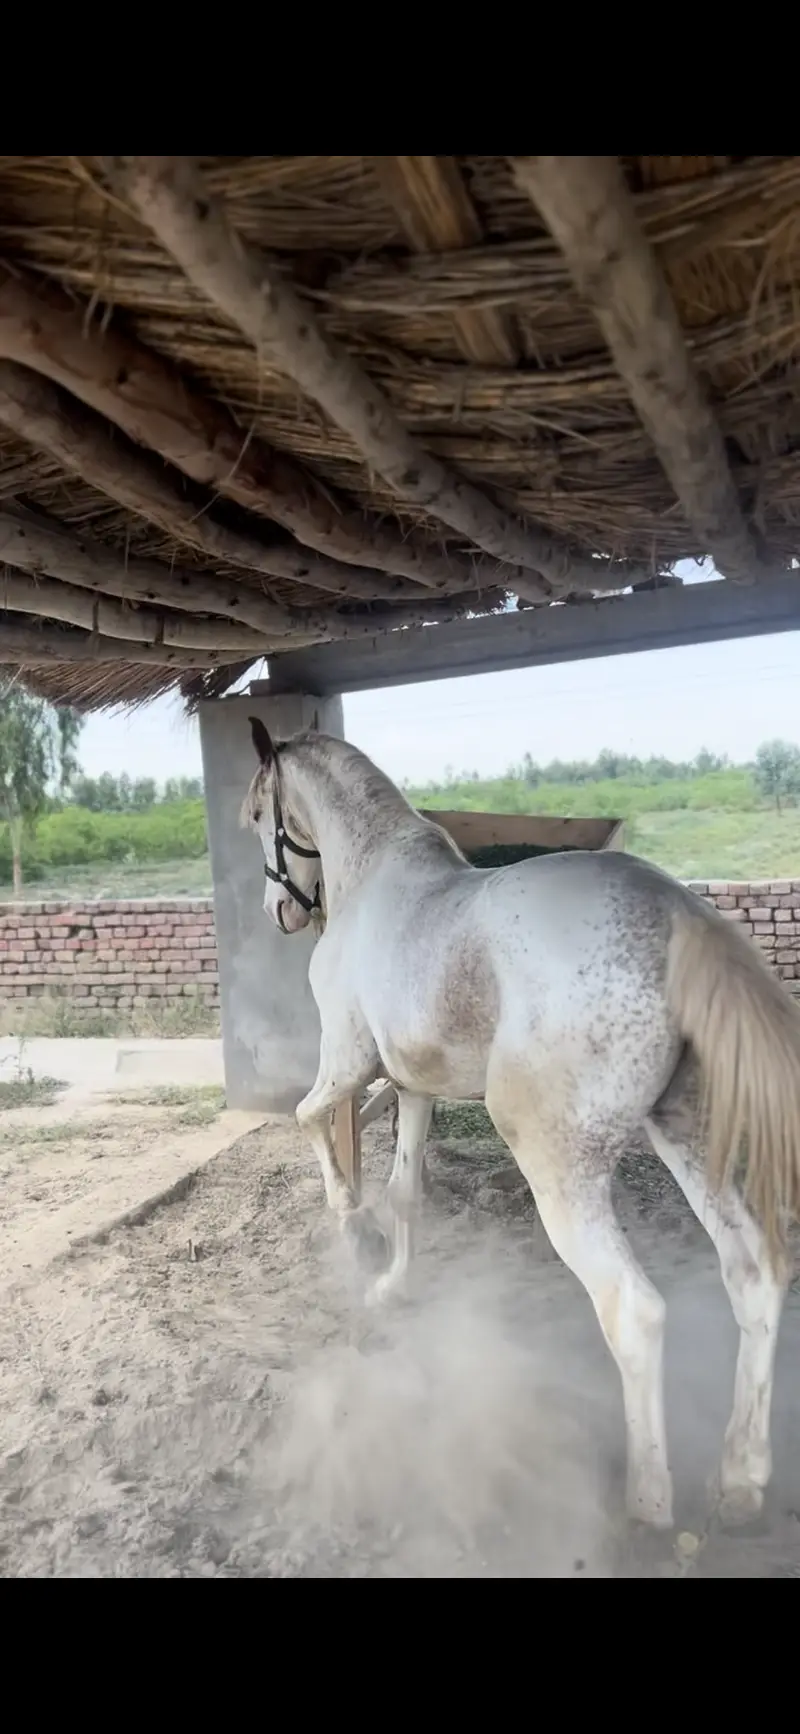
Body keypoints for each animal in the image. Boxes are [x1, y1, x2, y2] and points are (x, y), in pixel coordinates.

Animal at [241, 717, 800, 1533]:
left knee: (633, 1310)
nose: (278, 912)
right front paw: (391, 1285)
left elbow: (309, 1119)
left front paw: (355, 1234)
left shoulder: (347, 1059)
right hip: (687, 1137)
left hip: (560, 1165)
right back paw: (740, 1479)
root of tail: (675, 913)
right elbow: (406, 1192)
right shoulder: (413, 1087)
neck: (372, 876)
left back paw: (648, 1497)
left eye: (258, 812)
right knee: (753, 1273)